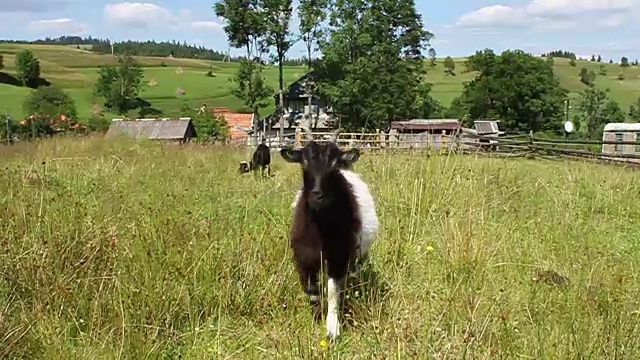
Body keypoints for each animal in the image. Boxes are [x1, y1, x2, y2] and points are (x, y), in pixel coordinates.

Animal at [278, 127, 378, 344]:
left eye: (334, 165)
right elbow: (312, 292)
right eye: (304, 162)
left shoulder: (337, 257)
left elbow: (333, 292)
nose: (317, 195)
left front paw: (332, 329)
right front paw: (316, 318)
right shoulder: (305, 258)